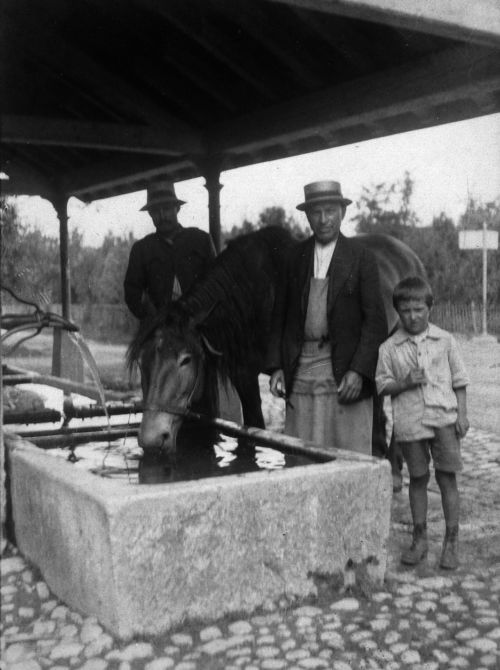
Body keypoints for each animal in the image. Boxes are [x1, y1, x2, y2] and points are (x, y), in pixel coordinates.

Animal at [129, 226, 426, 462]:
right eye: (143, 361)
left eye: (186, 359)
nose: (152, 439)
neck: (256, 295)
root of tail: (408, 255)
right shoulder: (244, 375)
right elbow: (252, 427)